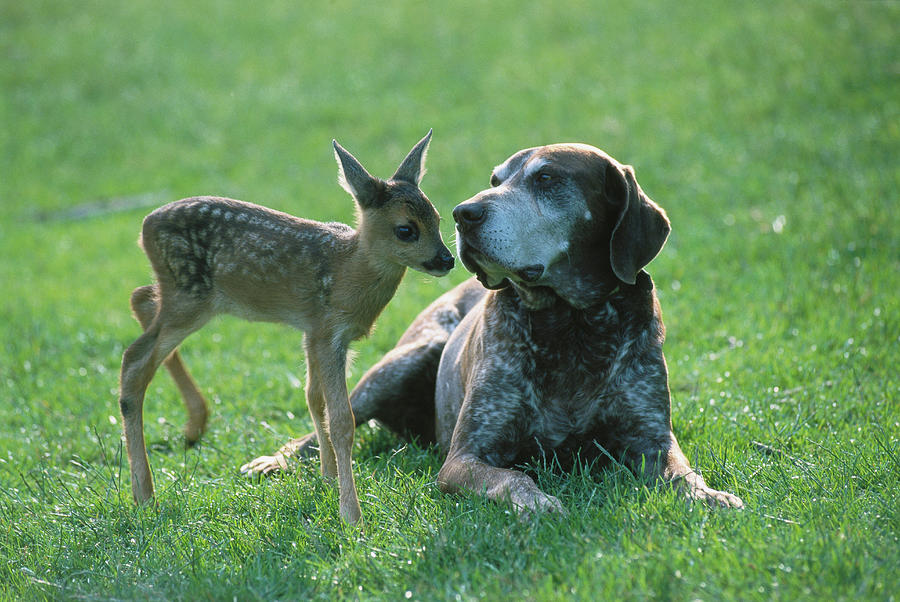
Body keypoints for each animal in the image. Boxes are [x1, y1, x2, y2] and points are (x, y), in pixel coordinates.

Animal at [119, 130, 454, 520]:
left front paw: (327, 479)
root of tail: (144, 227)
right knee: (134, 359)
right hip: (190, 297)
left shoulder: (313, 330)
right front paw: (351, 515)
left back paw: (192, 427)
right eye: (406, 230)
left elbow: (313, 398)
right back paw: (145, 494)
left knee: (140, 298)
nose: (446, 259)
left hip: (181, 296)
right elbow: (342, 420)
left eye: (438, 218)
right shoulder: (330, 333)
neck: (347, 272)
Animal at [241, 142, 744, 510]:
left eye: (546, 178)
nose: (463, 213)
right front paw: (540, 503)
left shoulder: (651, 441)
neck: (570, 323)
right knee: (327, 422)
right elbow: (514, 479)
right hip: (402, 363)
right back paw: (276, 461)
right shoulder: (466, 457)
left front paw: (709, 495)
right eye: (495, 181)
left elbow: (683, 474)